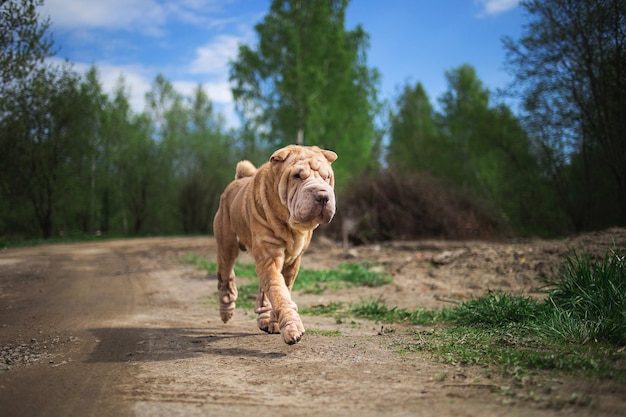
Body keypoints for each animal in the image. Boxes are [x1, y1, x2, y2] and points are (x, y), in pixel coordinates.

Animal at [212, 145, 336, 342]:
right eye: (297, 176)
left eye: (327, 177)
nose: (323, 195)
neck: (290, 225)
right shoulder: (269, 256)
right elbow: (279, 293)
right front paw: (292, 328)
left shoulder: (292, 262)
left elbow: (280, 290)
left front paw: (276, 324)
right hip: (227, 246)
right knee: (225, 277)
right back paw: (226, 311)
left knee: (263, 292)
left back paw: (264, 320)